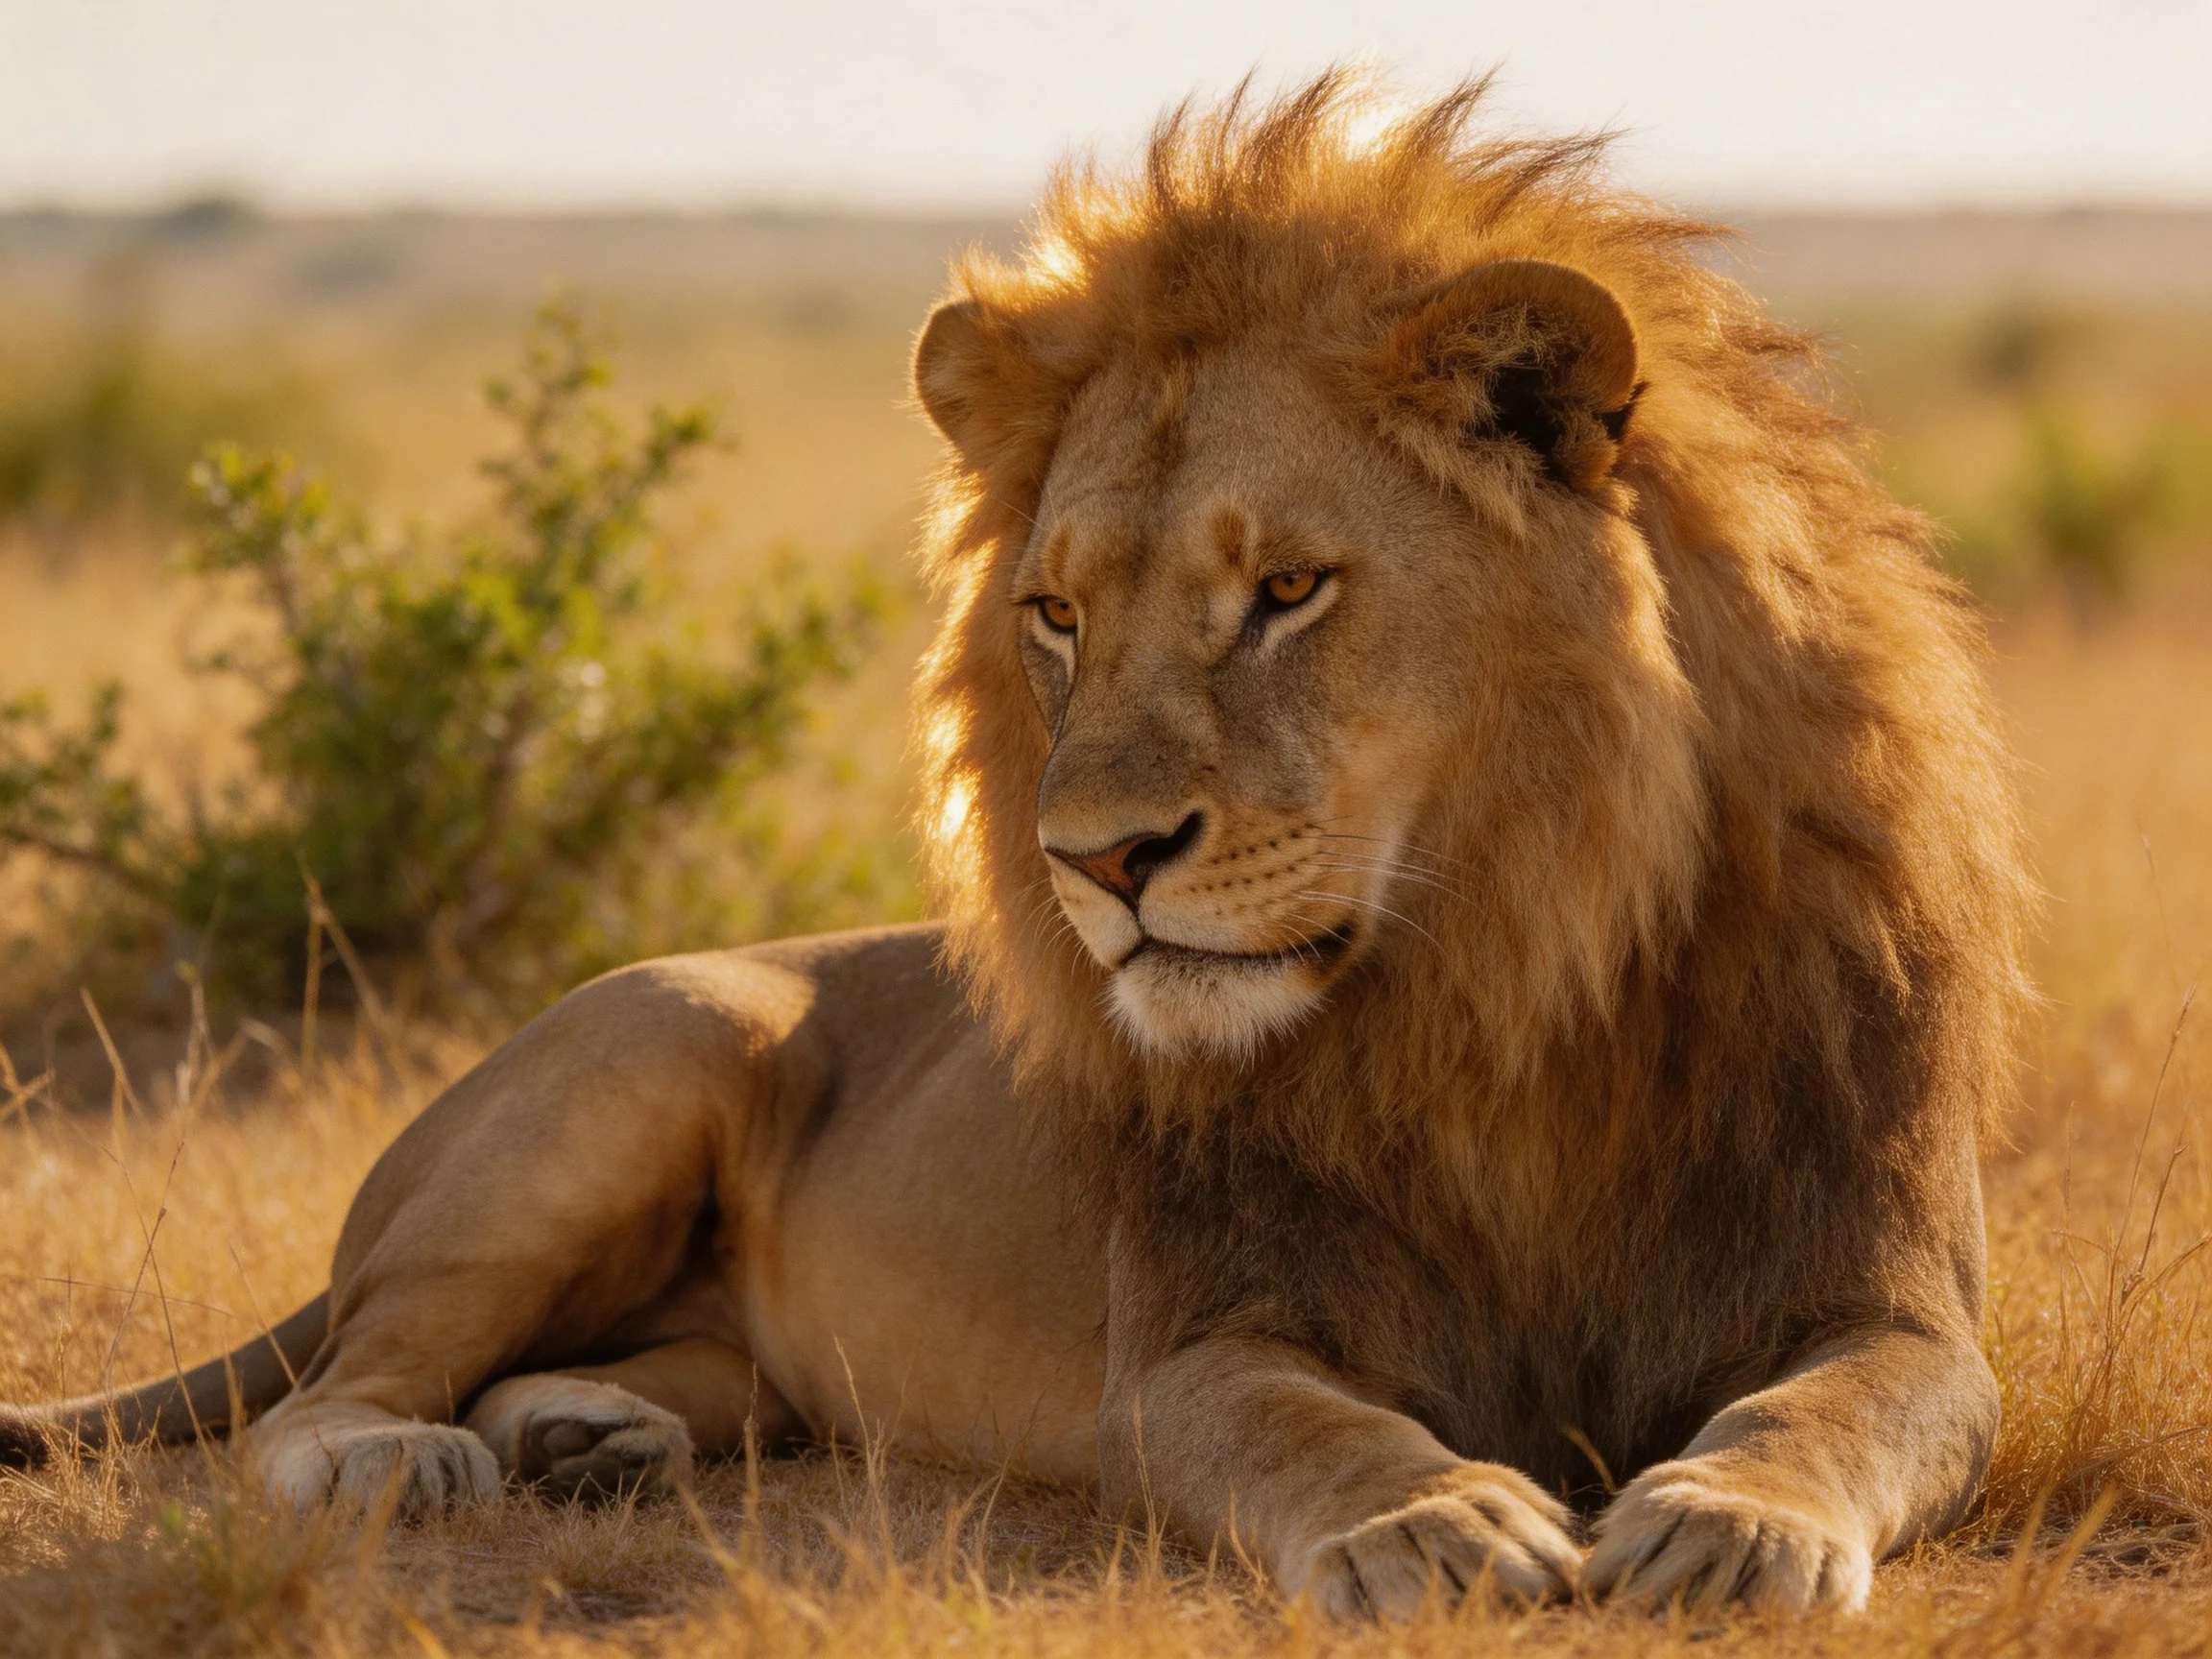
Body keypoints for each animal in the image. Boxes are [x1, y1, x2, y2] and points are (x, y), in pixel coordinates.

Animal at [1, 74, 2032, 1618]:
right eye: (1052, 616)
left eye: (1283, 591)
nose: (1093, 862)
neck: (1499, 983)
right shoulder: (1190, 1345)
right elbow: (1312, 1425)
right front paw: (1430, 1517)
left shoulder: (1892, 1292)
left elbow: (1842, 1406)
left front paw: (1725, 1522)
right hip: (632, 1069)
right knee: (331, 1391)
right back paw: (412, 1453)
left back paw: (592, 1434)